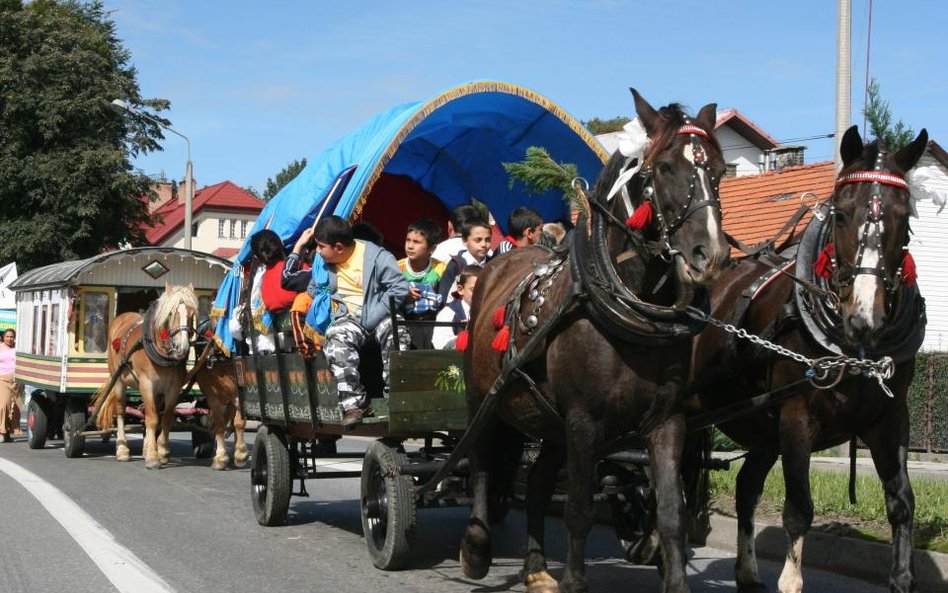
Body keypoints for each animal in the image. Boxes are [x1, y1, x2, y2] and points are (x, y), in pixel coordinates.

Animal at [93, 282, 199, 468]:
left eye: (191, 313)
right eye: (171, 313)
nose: (182, 348)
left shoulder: (173, 388)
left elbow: (165, 418)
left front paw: (161, 451)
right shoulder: (147, 384)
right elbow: (152, 419)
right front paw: (152, 457)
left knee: (148, 414)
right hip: (118, 379)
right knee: (121, 411)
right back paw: (122, 450)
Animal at [462, 89, 728, 592]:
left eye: (720, 170)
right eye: (665, 168)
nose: (712, 255)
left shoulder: (667, 421)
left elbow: (671, 513)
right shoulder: (584, 421)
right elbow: (580, 509)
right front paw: (574, 581)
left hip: (547, 420)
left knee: (538, 482)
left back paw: (535, 568)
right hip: (485, 399)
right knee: (482, 464)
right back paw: (477, 547)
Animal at [692, 126, 928, 592]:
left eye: (905, 219)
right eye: (841, 215)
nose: (864, 318)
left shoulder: (890, 417)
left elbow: (901, 502)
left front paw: (902, 578)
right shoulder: (796, 416)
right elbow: (799, 508)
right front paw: (791, 580)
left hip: (762, 426)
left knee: (746, 487)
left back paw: (747, 573)